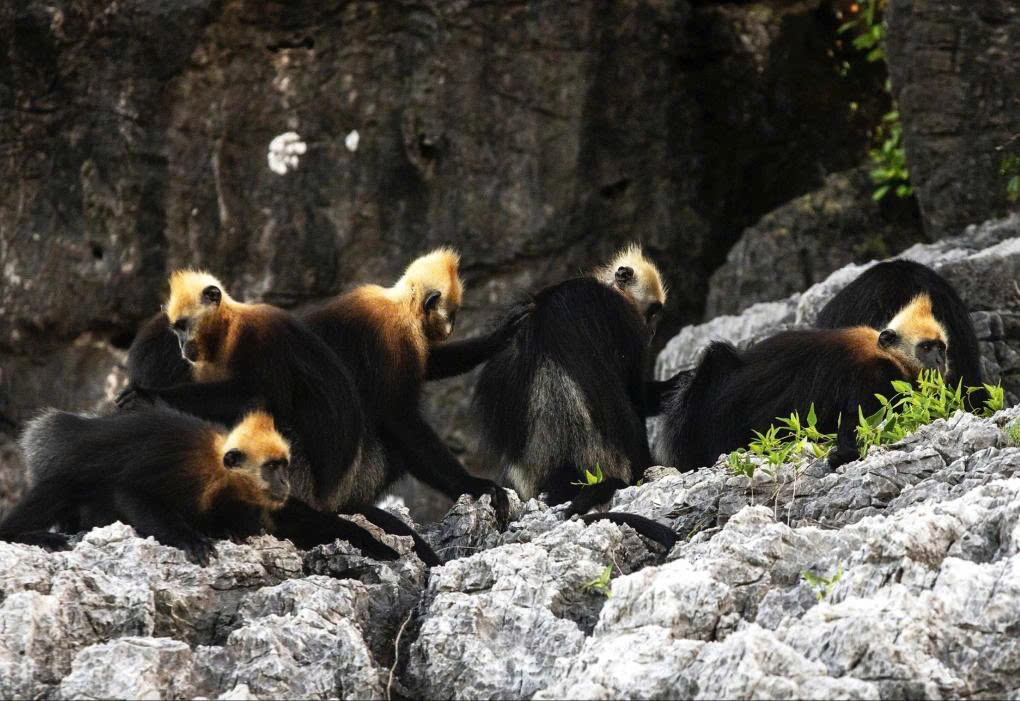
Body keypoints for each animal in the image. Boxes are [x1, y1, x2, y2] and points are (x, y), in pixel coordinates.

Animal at [1, 408, 400, 564]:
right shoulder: (181, 466)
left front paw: (372, 541)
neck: (221, 469)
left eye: (284, 467)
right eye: (272, 467)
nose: (285, 482)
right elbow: (131, 492)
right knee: (63, 486)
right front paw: (191, 539)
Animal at [299, 247, 532, 529]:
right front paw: (475, 485)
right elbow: (399, 419)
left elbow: (431, 362)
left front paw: (497, 337)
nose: (452, 327)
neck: (400, 303)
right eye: (452, 314)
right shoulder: (398, 338)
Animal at [655, 293, 950, 472]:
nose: (939, 361)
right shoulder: (875, 377)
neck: (886, 353)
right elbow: (854, 424)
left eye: (941, 347)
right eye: (926, 347)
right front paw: (844, 455)